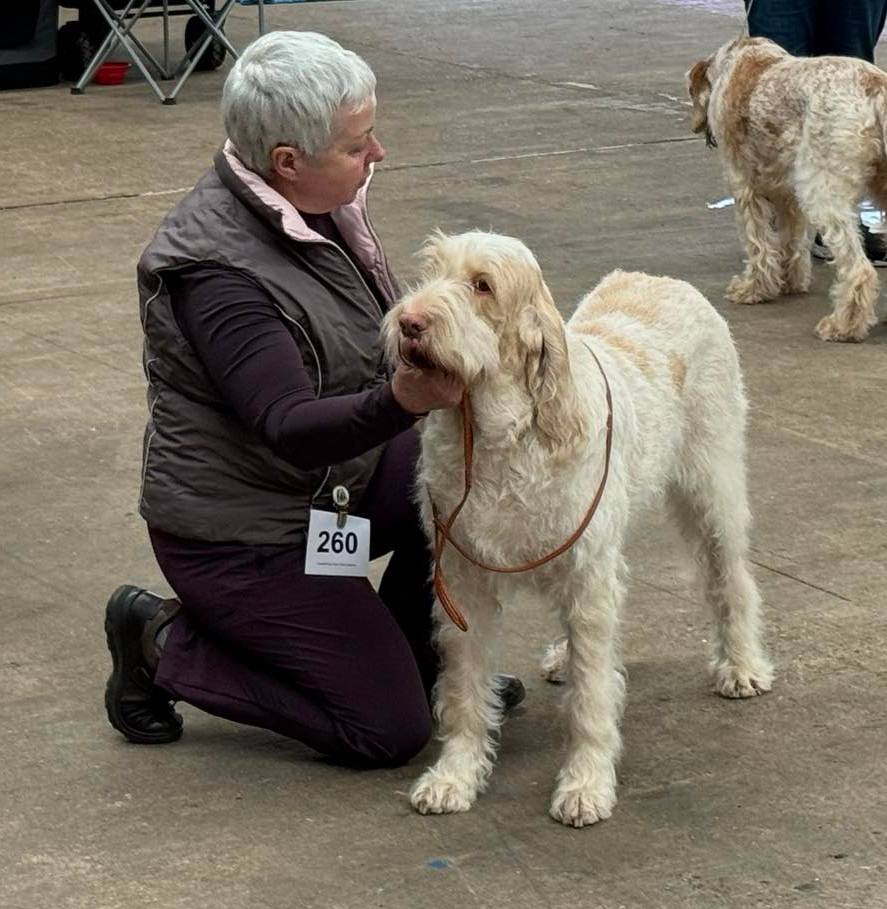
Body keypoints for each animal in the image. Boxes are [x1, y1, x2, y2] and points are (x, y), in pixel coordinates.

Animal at [382, 230, 774, 828]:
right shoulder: (463, 583)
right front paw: (455, 776)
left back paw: (743, 664)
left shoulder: (588, 575)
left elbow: (591, 697)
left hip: (713, 490)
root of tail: (658, 278)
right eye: (430, 272)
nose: (409, 322)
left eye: (482, 285)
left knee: (732, 578)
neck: (499, 436)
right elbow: (466, 690)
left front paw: (585, 784)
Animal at [687, 36, 887, 342]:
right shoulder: (787, 194)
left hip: (822, 193)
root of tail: (874, 85)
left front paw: (753, 289)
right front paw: (790, 282)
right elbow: (790, 240)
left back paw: (842, 326)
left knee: (858, 270)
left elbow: (758, 244)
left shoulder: (745, 187)